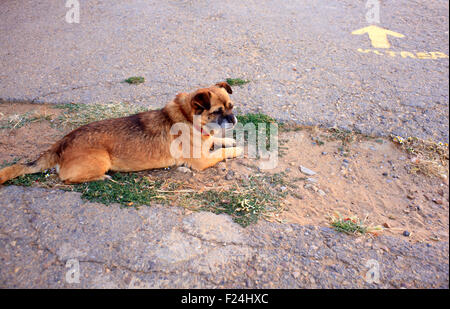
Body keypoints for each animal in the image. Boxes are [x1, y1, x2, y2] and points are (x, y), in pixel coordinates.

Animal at [0, 81, 243, 183]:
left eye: (231, 106)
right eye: (217, 111)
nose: (234, 119)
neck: (189, 118)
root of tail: (61, 143)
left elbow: (218, 140)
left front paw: (230, 140)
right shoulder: (202, 161)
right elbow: (220, 152)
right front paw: (237, 149)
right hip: (101, 161)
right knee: (67, 180)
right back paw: (101, 178)